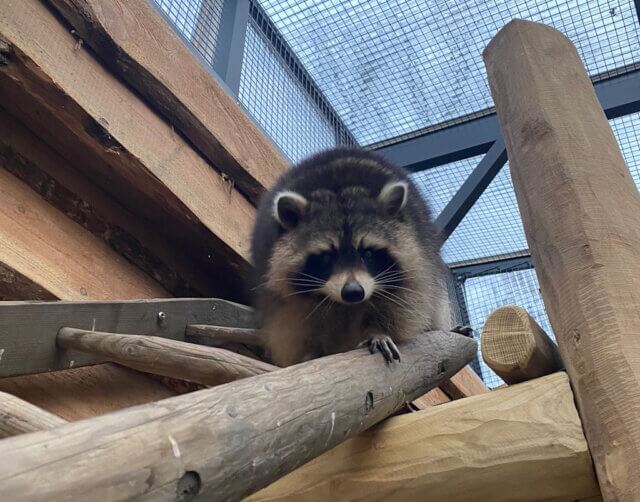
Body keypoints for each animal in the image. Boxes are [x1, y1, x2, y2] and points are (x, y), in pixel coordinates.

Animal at [250, 147, 456, 366]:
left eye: (368, 253)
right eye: (327, 256)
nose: (353, 292)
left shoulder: (415, 262)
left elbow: (402, 305)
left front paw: (377, 331)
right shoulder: (283, 291)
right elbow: (296, 323)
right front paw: (313, 351)